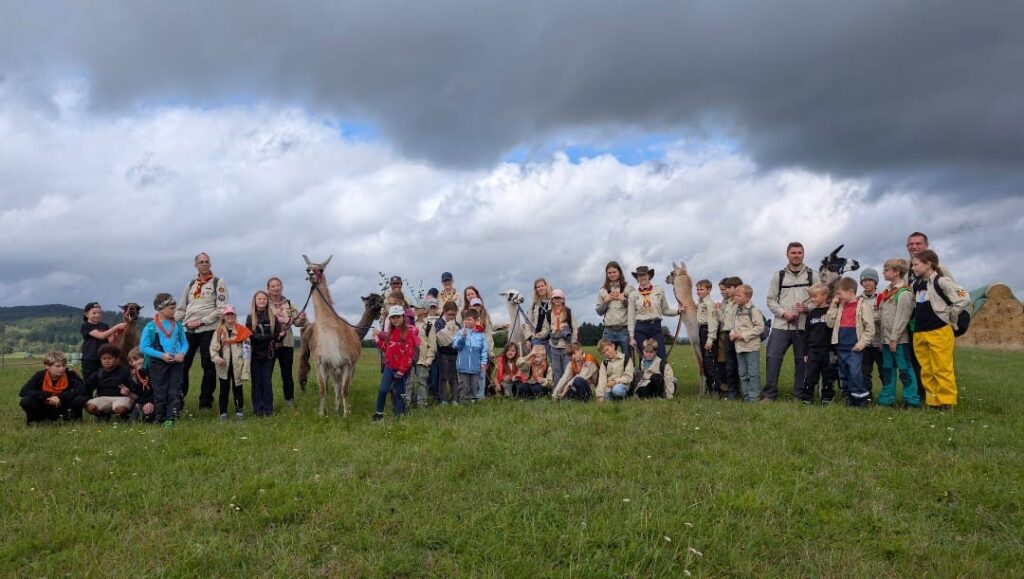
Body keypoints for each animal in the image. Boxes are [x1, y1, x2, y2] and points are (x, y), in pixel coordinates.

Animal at [303, 254, 363, 417]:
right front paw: (321, 414)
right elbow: (323, 390)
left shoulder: (348, 362)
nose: (310, 272)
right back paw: (336, 409)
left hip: (346, 367)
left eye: (321, 269)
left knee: (341, 387)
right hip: (334, 368)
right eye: (307, 267)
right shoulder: (322, 362)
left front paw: (346, 415)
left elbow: (346, 390)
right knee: (336, 386)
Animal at [666, 262, 707, 396]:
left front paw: (702, 394)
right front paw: (703, 393)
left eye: (671, 273)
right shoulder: (695, 343)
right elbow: (701, 367)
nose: (666, 279)